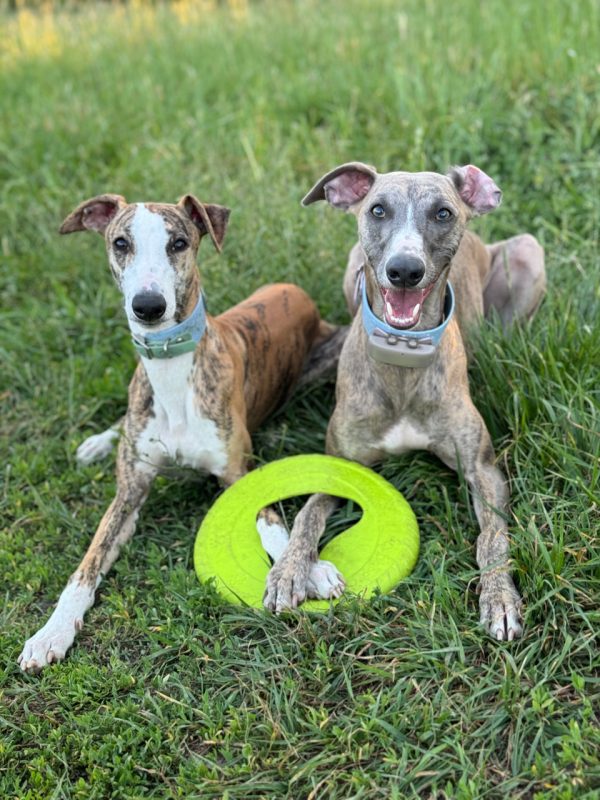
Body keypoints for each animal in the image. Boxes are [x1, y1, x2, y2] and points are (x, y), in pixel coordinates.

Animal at [19, 192, 346, 668]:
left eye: (178, 242)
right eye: (120, 243)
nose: (148, 306)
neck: (171, 371)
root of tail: (292, 290)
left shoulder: (238, 472)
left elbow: (275, 527)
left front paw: (308, 570)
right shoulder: (129, 492)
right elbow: (85, 567)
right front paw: (49, 634)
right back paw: (97, 442)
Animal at [264, 162, 548, 644]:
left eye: (442, 213)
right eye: (378, 209)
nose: (404, 271)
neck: (402, 357)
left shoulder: (483, 470)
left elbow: (492, 537)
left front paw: (500, 598)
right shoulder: (340, 464)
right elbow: (306, 514)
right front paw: (287, 572)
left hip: (528, 250)